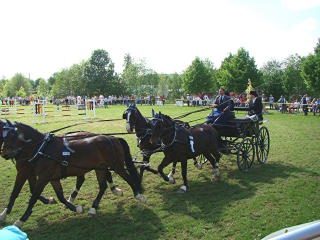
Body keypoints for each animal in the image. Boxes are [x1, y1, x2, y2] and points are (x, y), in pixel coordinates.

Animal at [0, 120, 146, 227]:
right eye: (4, 136)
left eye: (11, 135)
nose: (4, 154)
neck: (42, 149)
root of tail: (113, 138)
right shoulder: (50, 177)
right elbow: (58, 196)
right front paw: (75, 208)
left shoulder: (41, 177)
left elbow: (33, 197)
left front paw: (20, 220)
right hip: (100, 167)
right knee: (102, 185)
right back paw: (93, 207)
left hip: (116, 165)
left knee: (128, 178)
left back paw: (138, 195)